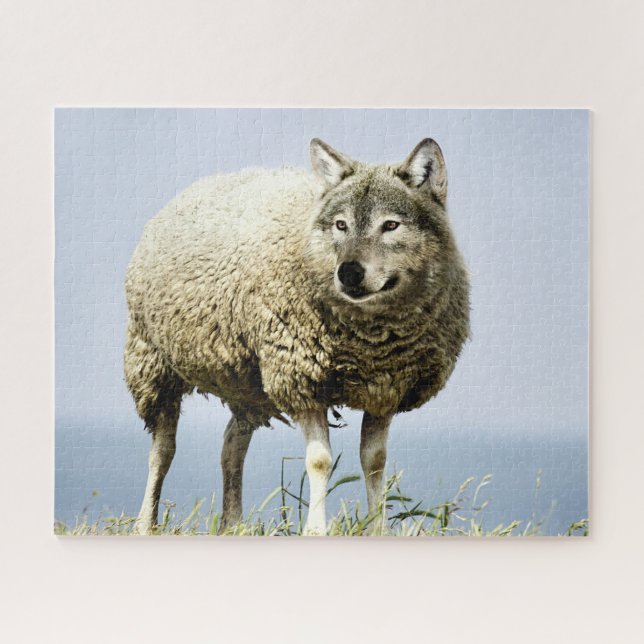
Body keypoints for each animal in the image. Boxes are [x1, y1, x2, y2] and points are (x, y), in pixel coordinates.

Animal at [124, 137, 470, 535]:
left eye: (391, 225)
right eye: (340, 224)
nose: (349, 272)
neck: (370, 341)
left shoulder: (384, 389)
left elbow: (375, 460)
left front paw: (377, 528)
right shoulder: (301, 380)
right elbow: (320, 461)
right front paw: (316, 530)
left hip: (247, 385)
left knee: (231, 446)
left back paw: (233, 524)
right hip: (153, 364)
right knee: (163, 450)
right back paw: (145, 523)